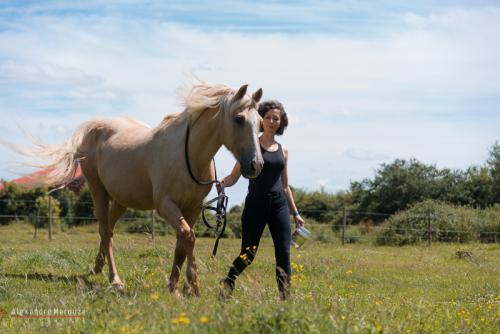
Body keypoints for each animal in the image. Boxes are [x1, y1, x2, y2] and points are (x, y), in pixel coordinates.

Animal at [24, 83, 266, 294]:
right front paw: (193, 286)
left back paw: (97, 267)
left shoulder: (193, 208)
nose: (256, 165)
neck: (188, 154)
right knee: (105, 231)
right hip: (98, 191)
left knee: (108, 231)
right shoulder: (165, 205)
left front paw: (174, 286)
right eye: (239, 119)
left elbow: (181, 244)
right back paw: (115, 279)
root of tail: (92, 129)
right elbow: (188, 237)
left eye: (260, 123)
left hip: (120, 201)